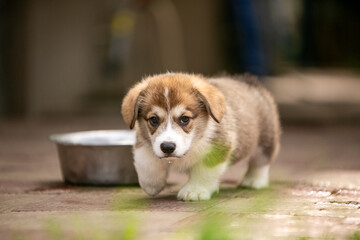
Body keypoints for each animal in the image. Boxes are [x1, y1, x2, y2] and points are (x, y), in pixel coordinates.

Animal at [121, 73, 282, 201]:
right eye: (153, 120)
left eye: (185, 119)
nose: (167, 147)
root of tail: (248, 82)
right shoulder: (143, 143)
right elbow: (147, 163)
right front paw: (152, 185)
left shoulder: (217, 150)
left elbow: (203, 172)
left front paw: (194, 191)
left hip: (266, 140)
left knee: (261, 161)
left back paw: (254, 181)